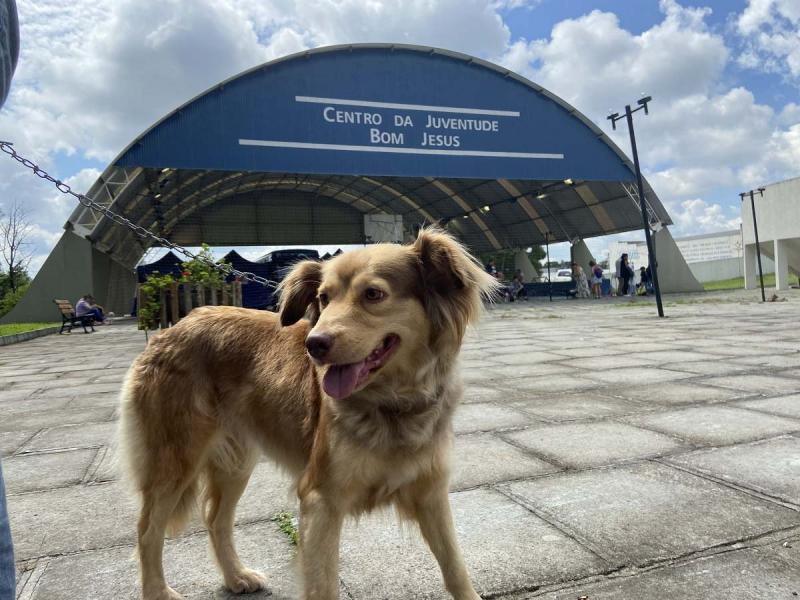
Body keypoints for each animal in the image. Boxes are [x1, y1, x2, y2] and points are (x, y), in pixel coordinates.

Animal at [119, 227, 500, 596]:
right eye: (323, 298)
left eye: (373, 294)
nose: (313, 344)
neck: (392, 404)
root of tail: (173, 328)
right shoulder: (320, 500)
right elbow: (323, 584)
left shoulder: (431, 492)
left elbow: (456, 569)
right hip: (175, 458)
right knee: (147, 530)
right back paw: (160, 591)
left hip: (237, 460)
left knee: (216, 519)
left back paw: (236, 577)